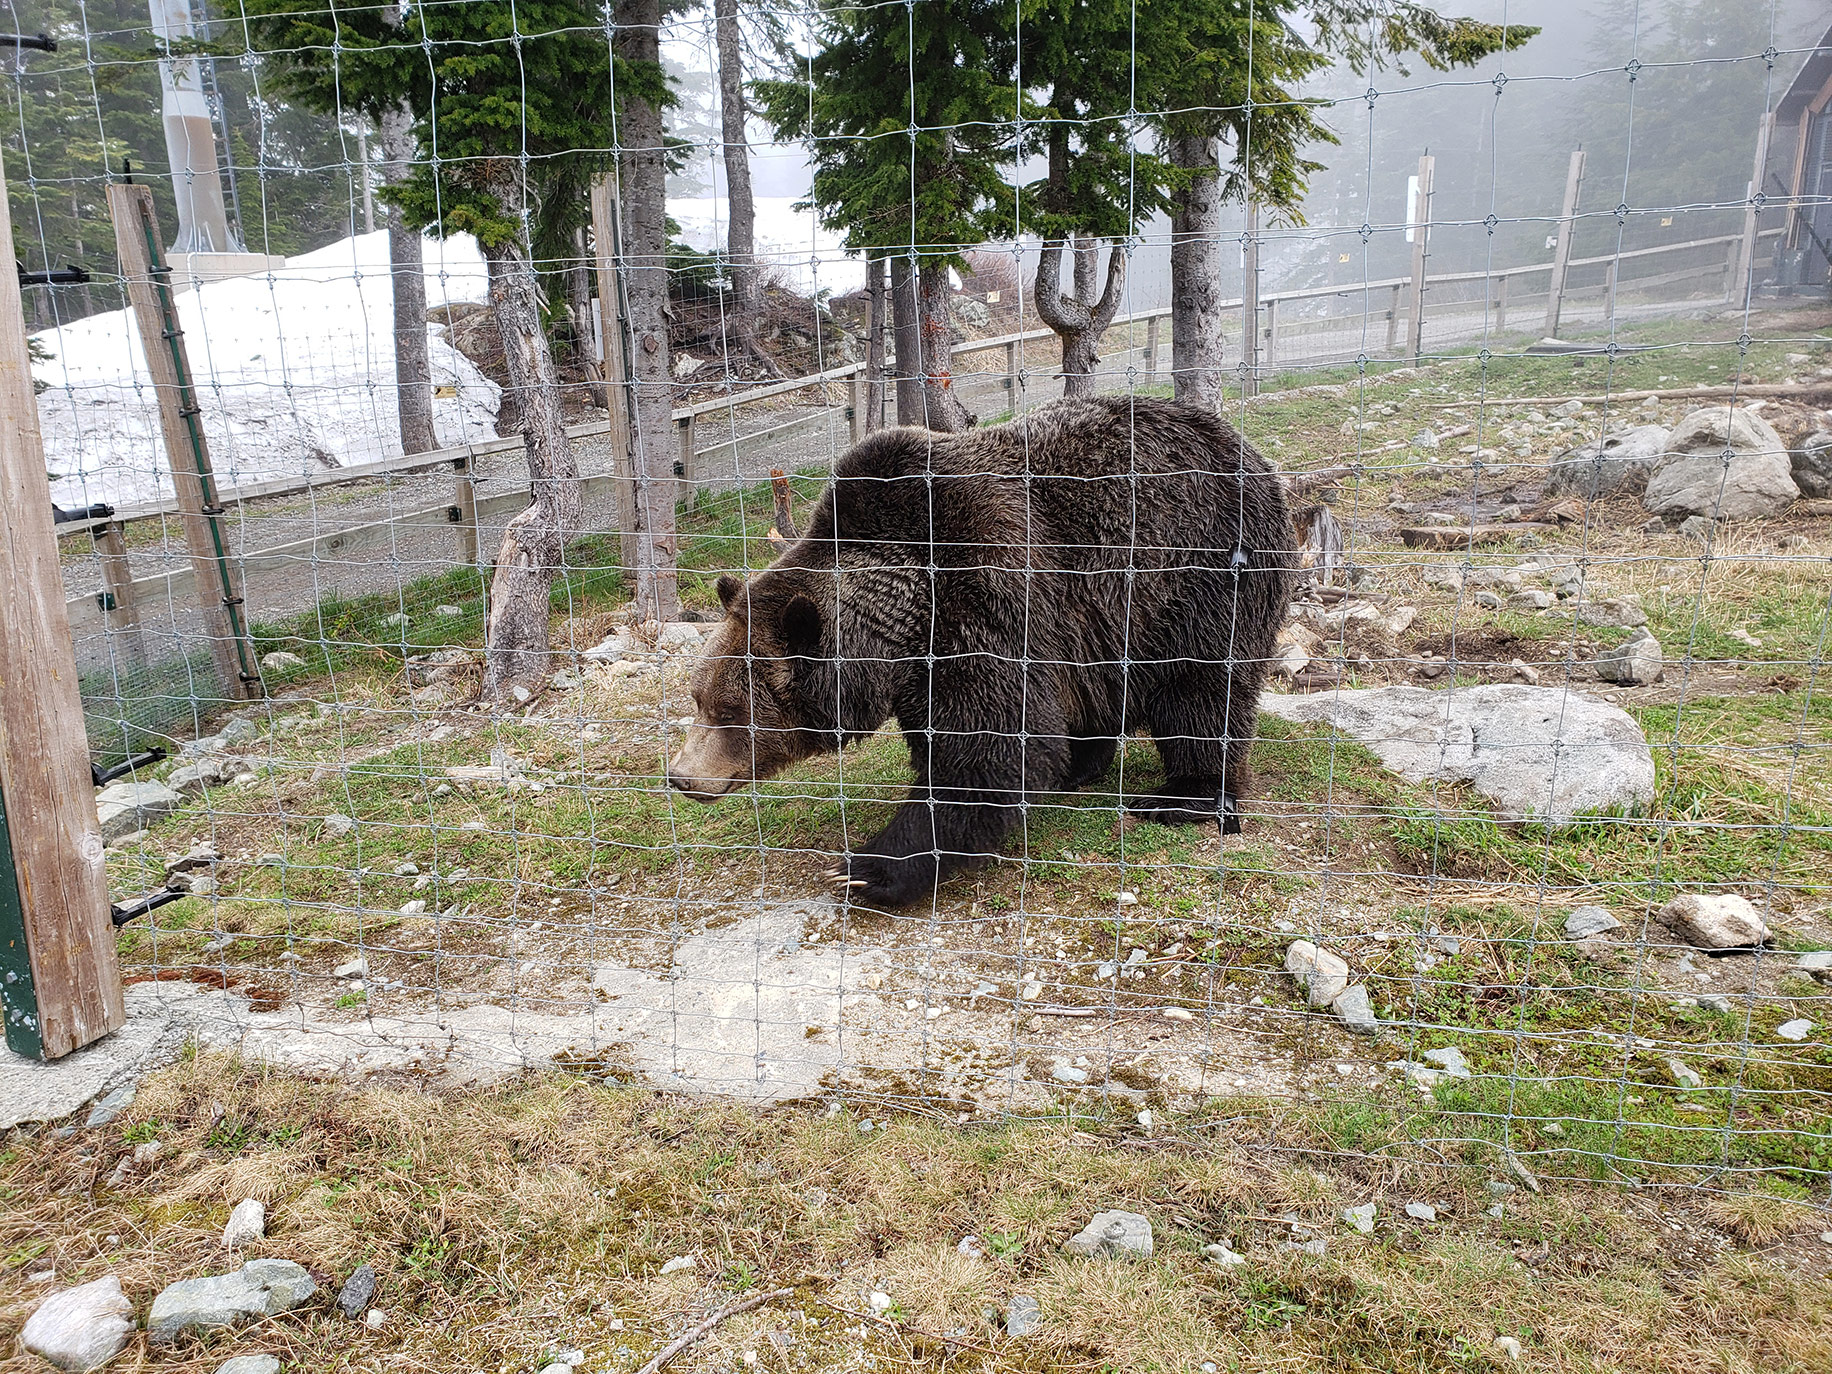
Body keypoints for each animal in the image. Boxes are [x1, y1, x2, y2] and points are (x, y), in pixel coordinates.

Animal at [670, 392, 1289, 908]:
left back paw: (1181, 796)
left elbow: (988, 749)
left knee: (1200, 690)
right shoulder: (926, 663)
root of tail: (1255, 456)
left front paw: (867, 868)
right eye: (698, 699)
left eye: (731, 711)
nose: (680, 776)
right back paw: (1082, 767)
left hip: (1199, 572)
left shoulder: (985, 588)